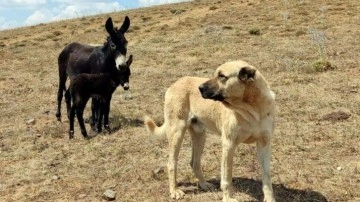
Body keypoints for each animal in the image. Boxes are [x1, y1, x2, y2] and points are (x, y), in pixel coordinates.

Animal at [143, 60, 276, 201]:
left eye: (222, 76)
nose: (200, 88)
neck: (252, 110)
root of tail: (175, 83)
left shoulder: (264, 144)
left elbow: (267, 177)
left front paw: (270, 199)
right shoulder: (228, 145)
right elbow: (226, 178)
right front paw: (228, 198)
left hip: (200, 135)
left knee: (194, 162)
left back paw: (203, 184)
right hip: (177, 132)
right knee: (171, 163)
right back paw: (174, 191)